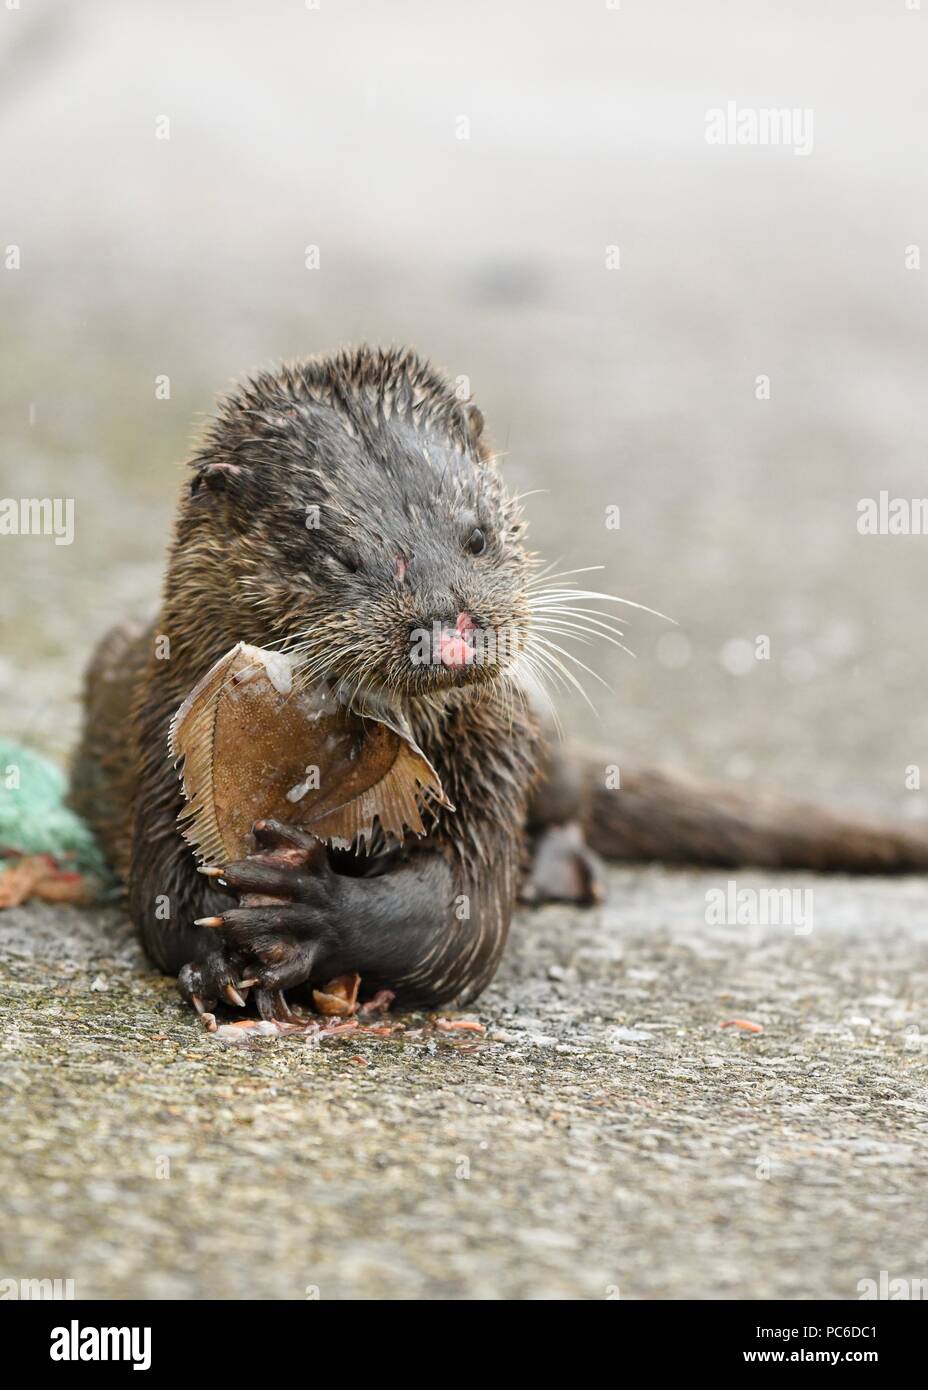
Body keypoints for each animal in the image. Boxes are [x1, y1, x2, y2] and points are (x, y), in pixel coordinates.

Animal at [68, 347, 928, 1023]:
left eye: (475, 535)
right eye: (342, 557)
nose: (449, 625)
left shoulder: (493, 749)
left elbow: (461, 915)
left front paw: (313, 915)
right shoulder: (163, 731)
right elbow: (165, 898)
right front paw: (221, 964)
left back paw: (557, 873)